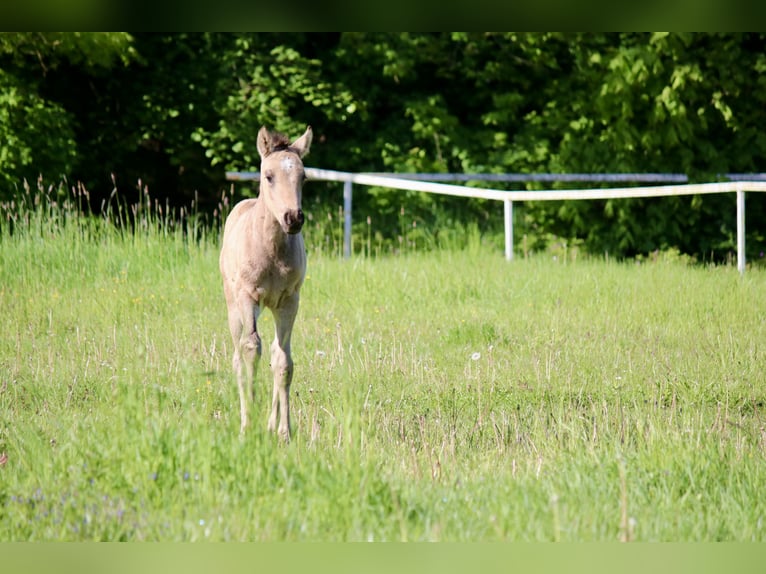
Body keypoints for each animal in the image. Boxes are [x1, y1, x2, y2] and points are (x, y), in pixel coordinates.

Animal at [219, 125, 312, 440]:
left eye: (303, 177)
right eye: (268, 176)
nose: (293, 218)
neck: (271, 250)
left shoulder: (289, 301)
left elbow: (283, 361)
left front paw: (284, 431)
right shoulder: (248, 298)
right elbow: (251, 349)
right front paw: (248, 426)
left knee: (273, 351)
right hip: (233, 305)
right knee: (238, 357)